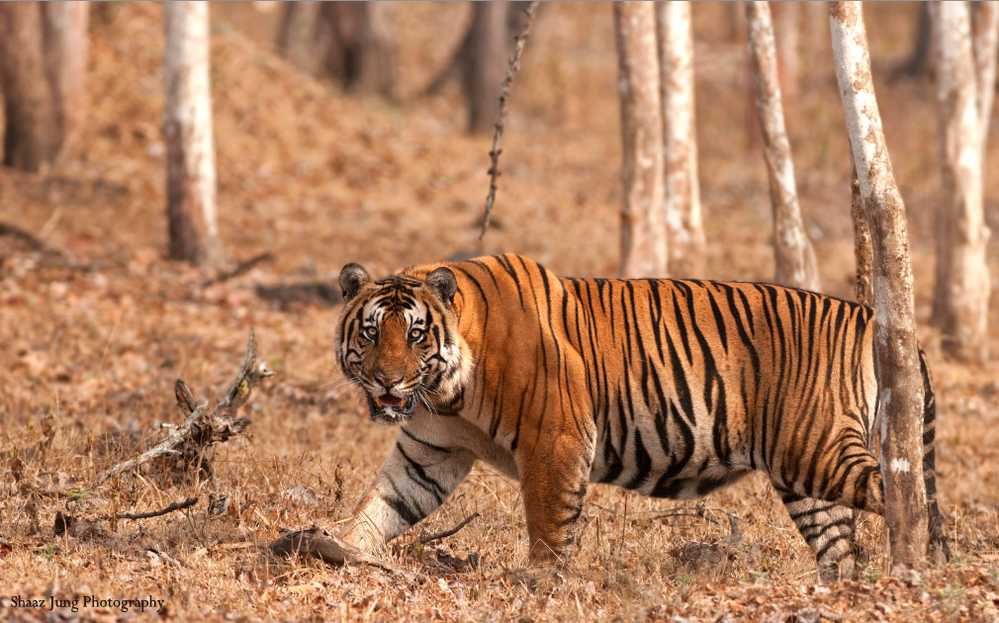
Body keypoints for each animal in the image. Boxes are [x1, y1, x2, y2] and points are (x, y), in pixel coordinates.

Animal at [332, 252, 948, 580]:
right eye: (372, 332)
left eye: (415, 334)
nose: (387, 381)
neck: (447, 390)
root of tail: (873, 316)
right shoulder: (431, 448)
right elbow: (386, 503)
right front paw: (340, 549)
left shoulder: (556, 438)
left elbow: (548, 522)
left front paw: (539, 583)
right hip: (805, 476)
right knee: (841, 546)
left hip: (816, 450)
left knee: (907, 491)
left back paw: (919, 568)